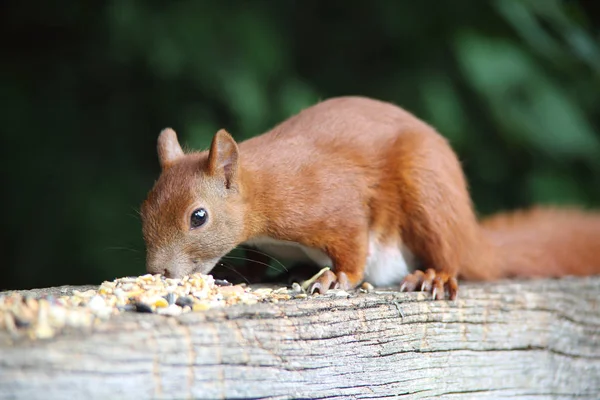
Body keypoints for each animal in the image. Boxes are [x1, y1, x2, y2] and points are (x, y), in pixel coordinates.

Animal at [138, 95, 600, 298]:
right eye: (143, 211)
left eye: (198, 217)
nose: (157, 271)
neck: (263, 189)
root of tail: (472, 235)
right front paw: (244, 274)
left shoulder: (330, 203)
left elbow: (351, 245)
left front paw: (335, 278)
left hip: (429, 193)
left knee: (449, 253)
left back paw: (435, 276)